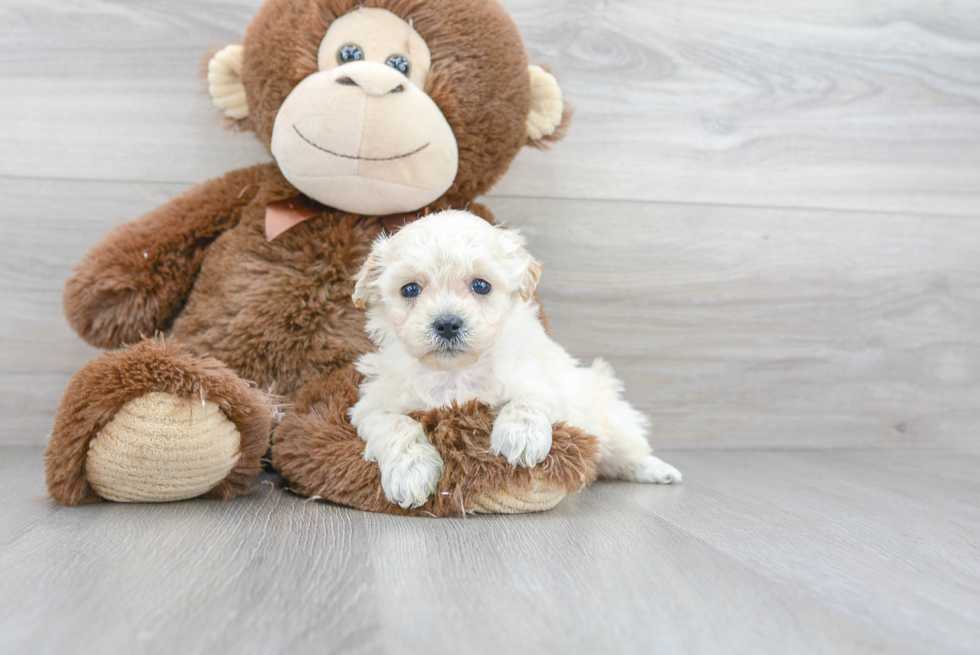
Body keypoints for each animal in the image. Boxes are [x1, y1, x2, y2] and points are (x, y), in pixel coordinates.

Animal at [350, 210, 680, 508]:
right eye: (410, 289)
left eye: (481, 285)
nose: (446, 323)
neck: (457, 372)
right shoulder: (373, 407)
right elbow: (397, 426)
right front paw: (410, 473)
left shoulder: (544, 379)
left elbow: (529, 398)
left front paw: (521, 436)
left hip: (610, 419)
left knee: (628, 452)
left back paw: (659, 471)